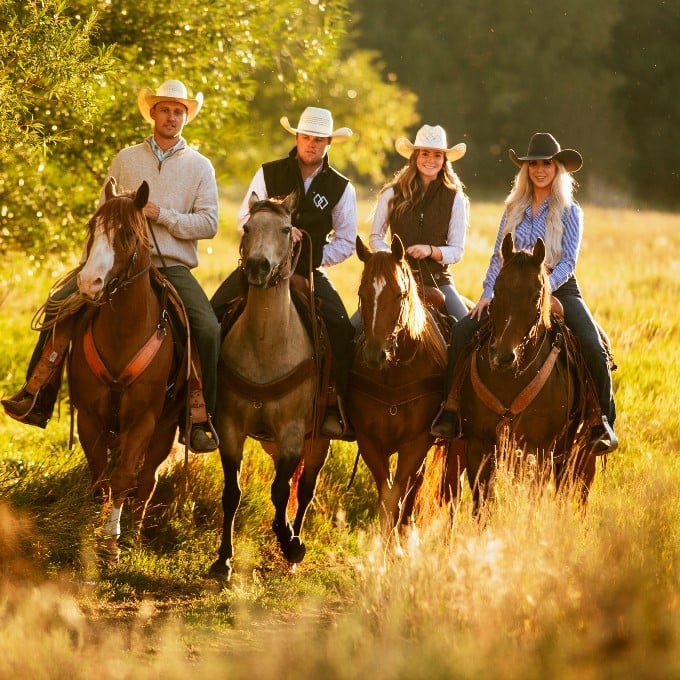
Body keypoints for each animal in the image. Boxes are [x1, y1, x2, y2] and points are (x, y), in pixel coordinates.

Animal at [69, 181, 186, 552]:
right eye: (92, 227)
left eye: (125, 235)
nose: (89, 283)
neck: (123, 334)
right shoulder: (89, 417)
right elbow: (99, 476)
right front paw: (92, 528)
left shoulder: (144, 421)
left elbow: (123, 477)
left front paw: (112, 541)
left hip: (165, 429)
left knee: (147, 479)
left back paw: (134, 532)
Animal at [211, 190, 330, 580]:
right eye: (248, 227)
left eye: (285, 229)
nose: (258, 267)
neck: (266, 344)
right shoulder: (230, 429)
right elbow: (232, 493)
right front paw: (223, 560)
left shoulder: (293, 434)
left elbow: (280, 492)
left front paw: (291, 543)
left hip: (318, 440)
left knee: (305, 488)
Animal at [346, 235, 462, 536]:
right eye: (362, 293)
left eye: (400, 295)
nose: (374, 355)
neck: (394, 371)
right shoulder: (369, 441)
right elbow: (388, 497)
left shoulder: (417, 442)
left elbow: (401, 492)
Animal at [456, 234, 596, 510]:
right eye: (497, 289)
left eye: (535, 295)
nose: (502, 356)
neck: (509, 379)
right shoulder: (478, 446)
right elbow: (482, 505)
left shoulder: (538, 451)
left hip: (574, 451)